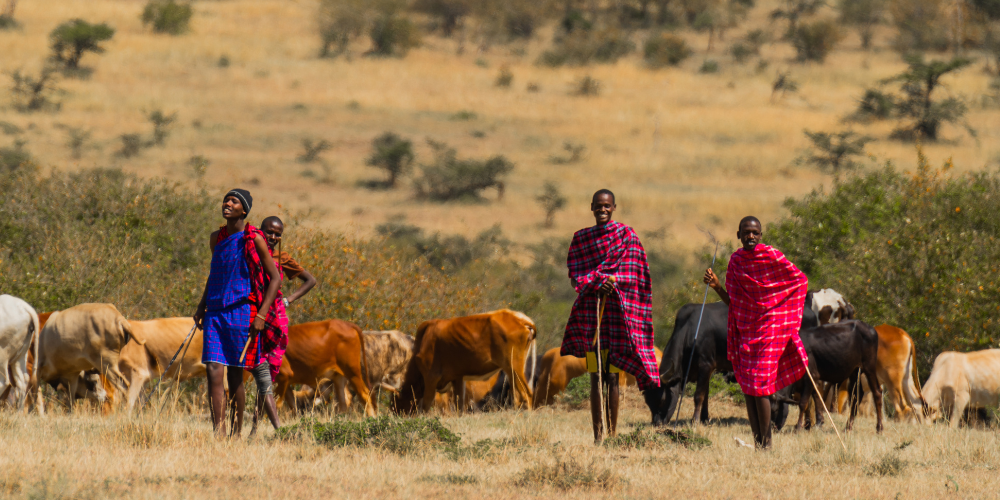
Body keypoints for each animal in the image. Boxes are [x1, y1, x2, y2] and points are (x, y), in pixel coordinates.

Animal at [393, 309, 537, 413]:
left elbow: (426, 405)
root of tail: (519, 318)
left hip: (513, 367)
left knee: (526, 393)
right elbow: (459, 406)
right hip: (512, 371)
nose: (396, 414)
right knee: (517, 394)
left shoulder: (430, 378)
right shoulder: (457, 378)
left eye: (395, 401)